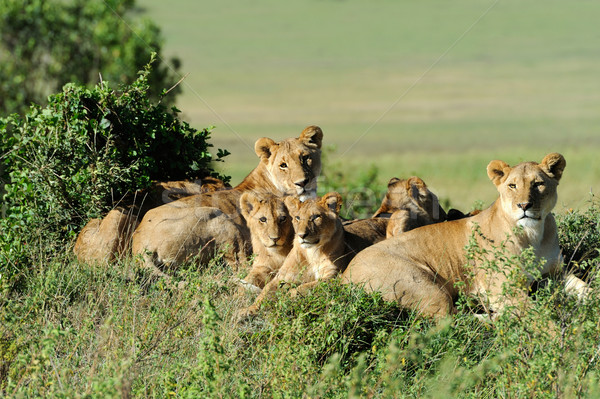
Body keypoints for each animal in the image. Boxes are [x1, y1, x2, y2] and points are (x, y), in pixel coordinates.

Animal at [129, 126, 322, 280]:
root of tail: (139, 246)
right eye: (283, 165)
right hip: (218, 218)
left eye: (305, 157)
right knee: (241, 267)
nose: (302, 183)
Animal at [340, 154, 588, 322]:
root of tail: (343, 277)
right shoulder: (502, 288)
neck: (533, 234)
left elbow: (585, 288)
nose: (524, 205)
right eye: (512, 185)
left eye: (538, 184)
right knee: (450, 320)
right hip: (426, 287)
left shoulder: (556, 273)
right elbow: (538, 314)